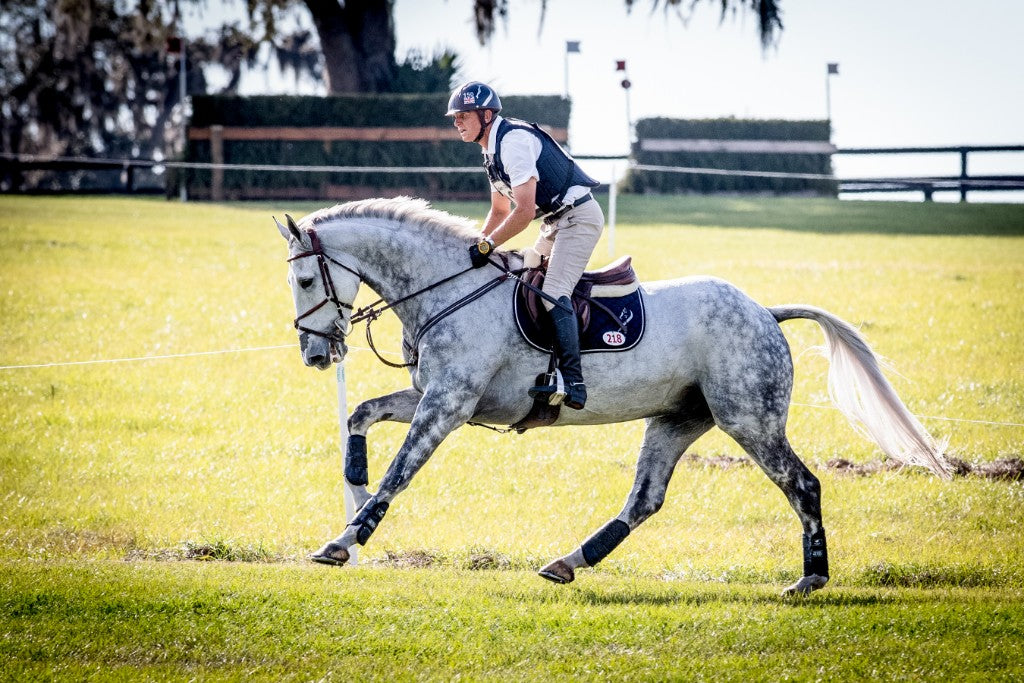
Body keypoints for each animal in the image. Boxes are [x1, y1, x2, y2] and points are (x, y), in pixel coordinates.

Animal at [274, 194, 950, 593]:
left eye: (305, 279)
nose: (315, 355)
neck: (448, 290)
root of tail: (764, 311)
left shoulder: (449, 404)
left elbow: (400, 472)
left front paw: (345, 540)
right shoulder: (439, 398)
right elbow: (362, 417)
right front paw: (352, 490)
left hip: (748, 419)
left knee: (802, 485)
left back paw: (810, 581)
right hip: (678, 419)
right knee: (645, 499)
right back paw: (567, 562)